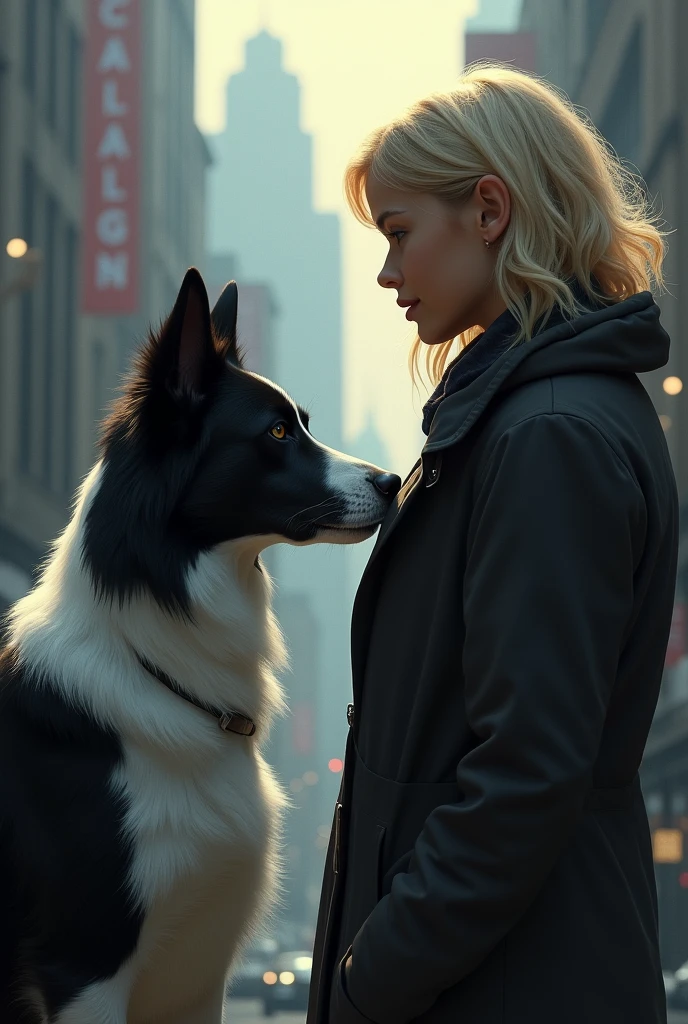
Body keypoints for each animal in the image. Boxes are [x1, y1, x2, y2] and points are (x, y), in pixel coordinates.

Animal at [0, 268, 401, 1019]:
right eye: (277, 430)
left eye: (303, 422)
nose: (392, 482)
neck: (153, 667)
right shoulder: (87, 971)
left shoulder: (197, 974)